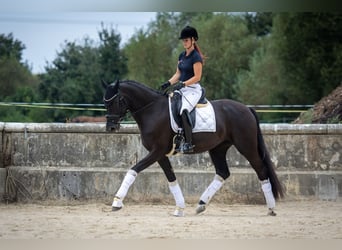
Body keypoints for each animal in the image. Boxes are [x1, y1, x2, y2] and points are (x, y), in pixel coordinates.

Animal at [103, 80, 284, 217]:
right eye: (105, 103)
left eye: (115, 101)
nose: (110, 127)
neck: (152, 110)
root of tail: (246, 108)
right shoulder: (161, 154)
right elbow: (171, 178)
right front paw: (180, 208)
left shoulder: (157, 151)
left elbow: (133, 170)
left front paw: (117, 202)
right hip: (218, 148)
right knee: (223, 172)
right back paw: (201, 204)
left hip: (246, 146)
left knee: (261, 170)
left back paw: (271, 208)